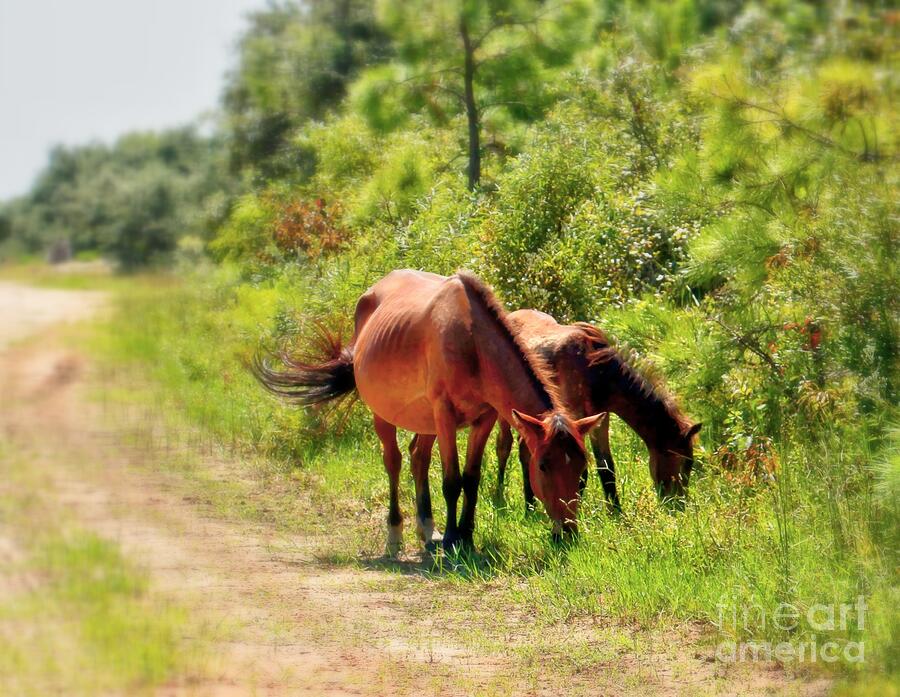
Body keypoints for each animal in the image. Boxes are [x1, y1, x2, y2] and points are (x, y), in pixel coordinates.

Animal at [253, 270, 604, 552]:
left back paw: (426, 527)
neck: (472, 342)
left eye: (582, 470)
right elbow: (451, 481)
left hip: (425, 422)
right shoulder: (444, 415)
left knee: (418, 458)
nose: (568, 532)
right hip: (387, 416)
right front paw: (451, 538)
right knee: (394, 462)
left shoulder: (484, 419)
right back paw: (395, 533)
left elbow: (471, 479)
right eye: (543, 466)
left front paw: (466, 536)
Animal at [492, 312, 704, 508]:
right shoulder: (572, 418)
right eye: (686, 463)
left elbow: (606, 466)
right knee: (504, 445)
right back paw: (501, 497)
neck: (596, 371)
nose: (678, 505)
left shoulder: (600, 419)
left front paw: (616, 511)